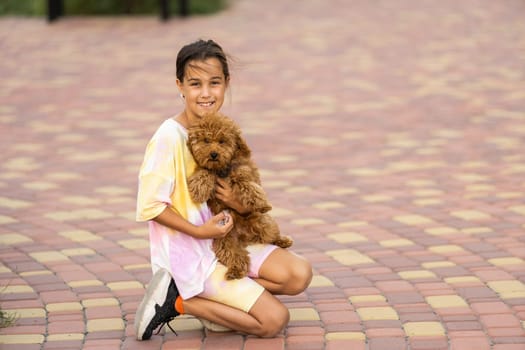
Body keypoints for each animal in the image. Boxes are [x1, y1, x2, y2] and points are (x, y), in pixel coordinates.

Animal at [186, 113, 292, 280]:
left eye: (222, 141)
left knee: (271, 236)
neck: (221, 169)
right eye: (206, 140)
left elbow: (247, 183)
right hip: (224, 240)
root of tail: (245, 238)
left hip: (264, 224)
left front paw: (262, 204)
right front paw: (198, 188)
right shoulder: (208, 170)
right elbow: (205, 172)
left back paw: (283, 241)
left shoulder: (244, 171)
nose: (214, 154)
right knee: (236, 256)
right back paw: (235, 271)